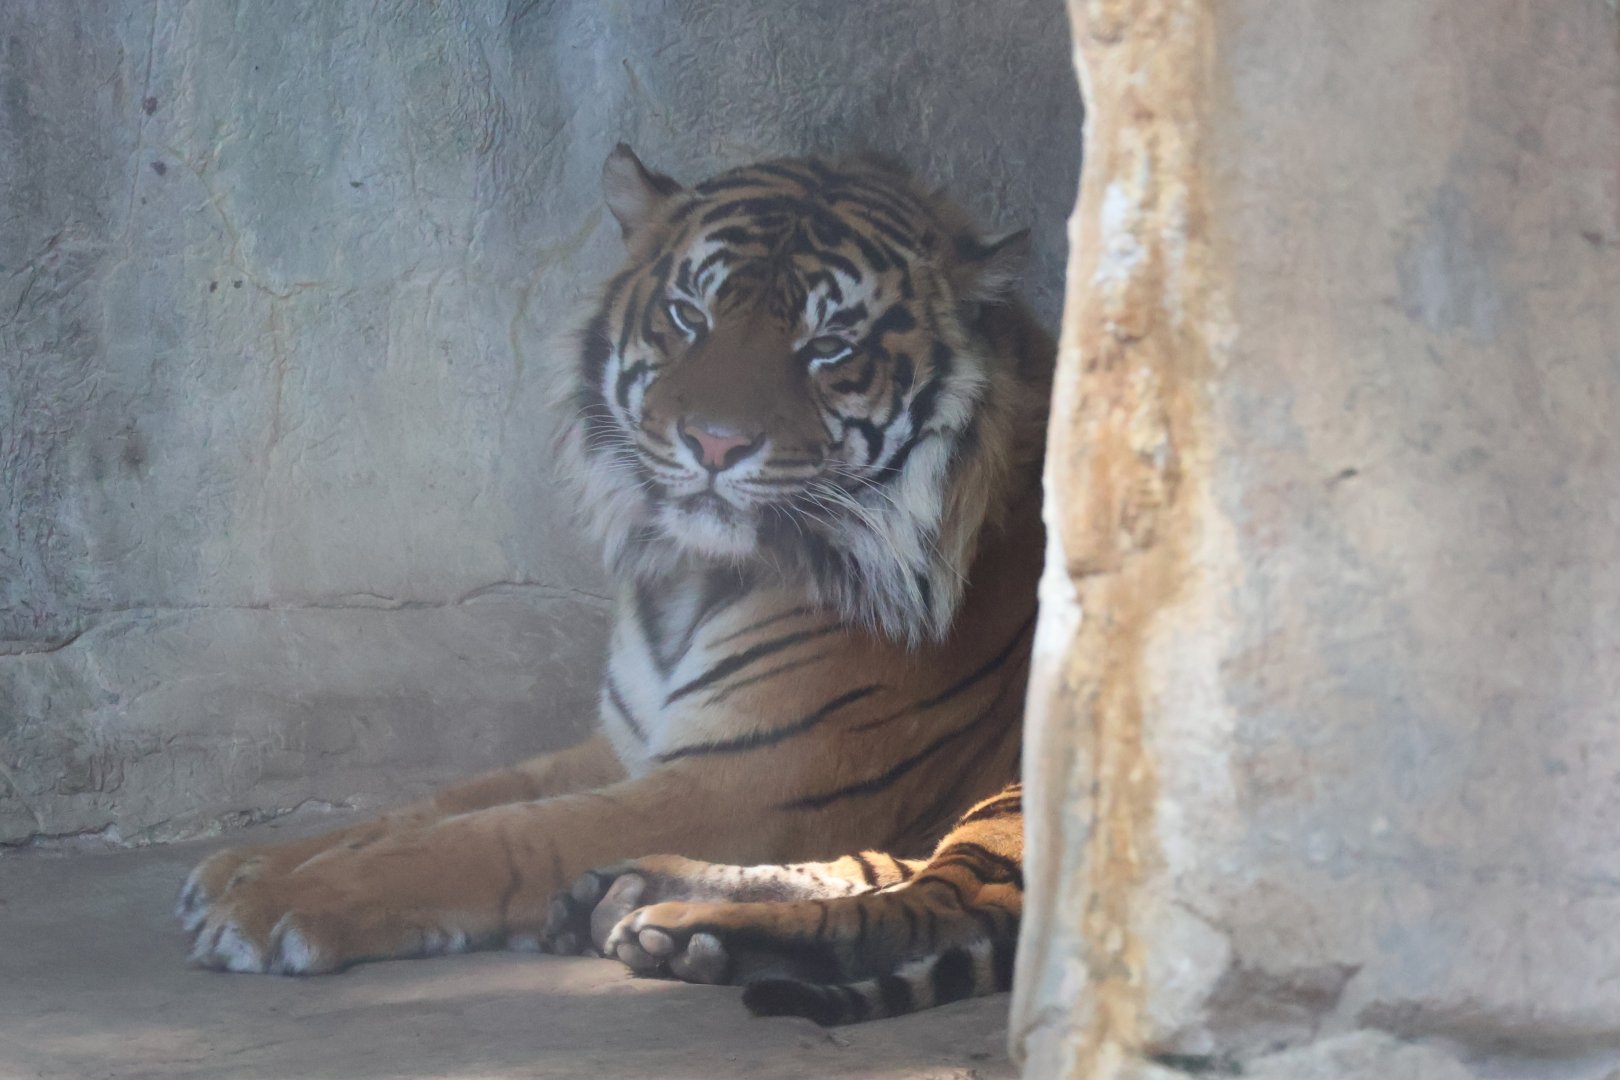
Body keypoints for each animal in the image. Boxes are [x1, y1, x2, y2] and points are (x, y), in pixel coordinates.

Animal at [177, 145, 1053, 1026]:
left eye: (831, 345)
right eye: (690, 316)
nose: (715, 443)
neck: (693, 579)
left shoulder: (756, 777)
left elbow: (500, 834)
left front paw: (278, 904)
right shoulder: (630, 744)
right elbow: (449, 800)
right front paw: (248, 865)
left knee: (939, 909)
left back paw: (688, 929)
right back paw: (637, 895)